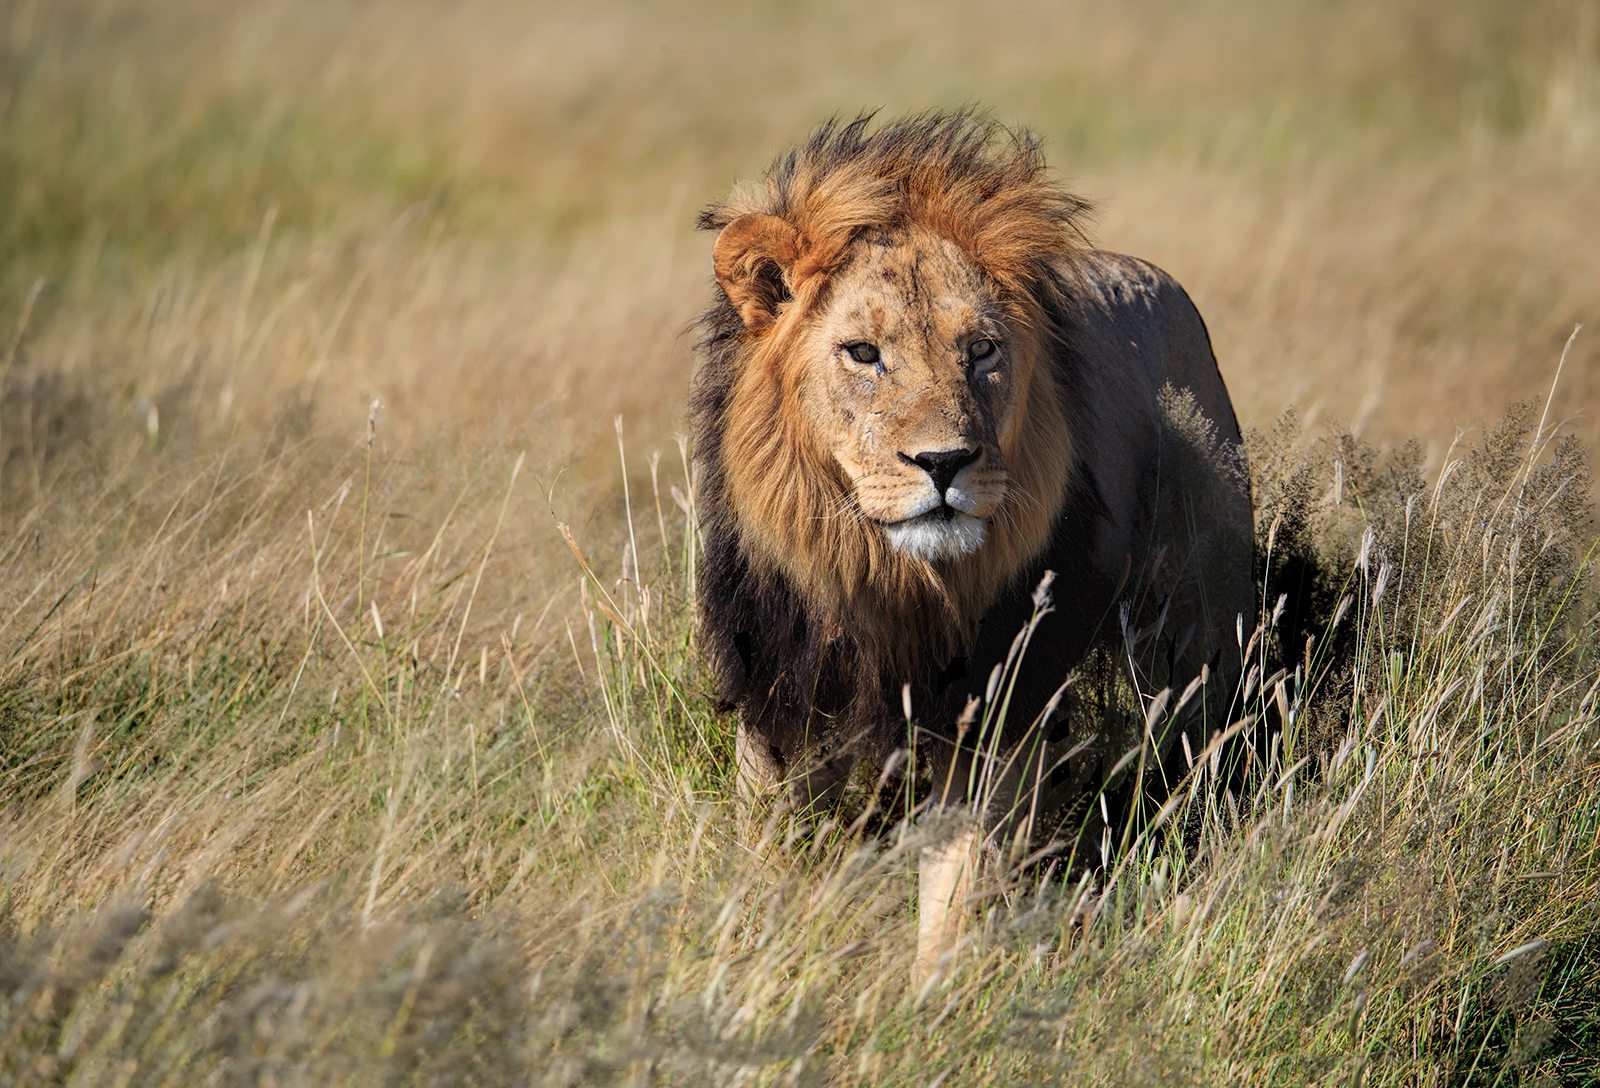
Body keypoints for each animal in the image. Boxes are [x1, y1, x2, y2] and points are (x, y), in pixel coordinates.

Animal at [690, 111, 1254, 979]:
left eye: (981, 350)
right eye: (863, 353)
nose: (944, 462)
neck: (889, 579)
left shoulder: (991, 704)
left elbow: (958, 882)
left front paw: (935, 1000)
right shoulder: (777, 682)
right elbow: (769, 844)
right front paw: (750, 957)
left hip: (1204, 622)